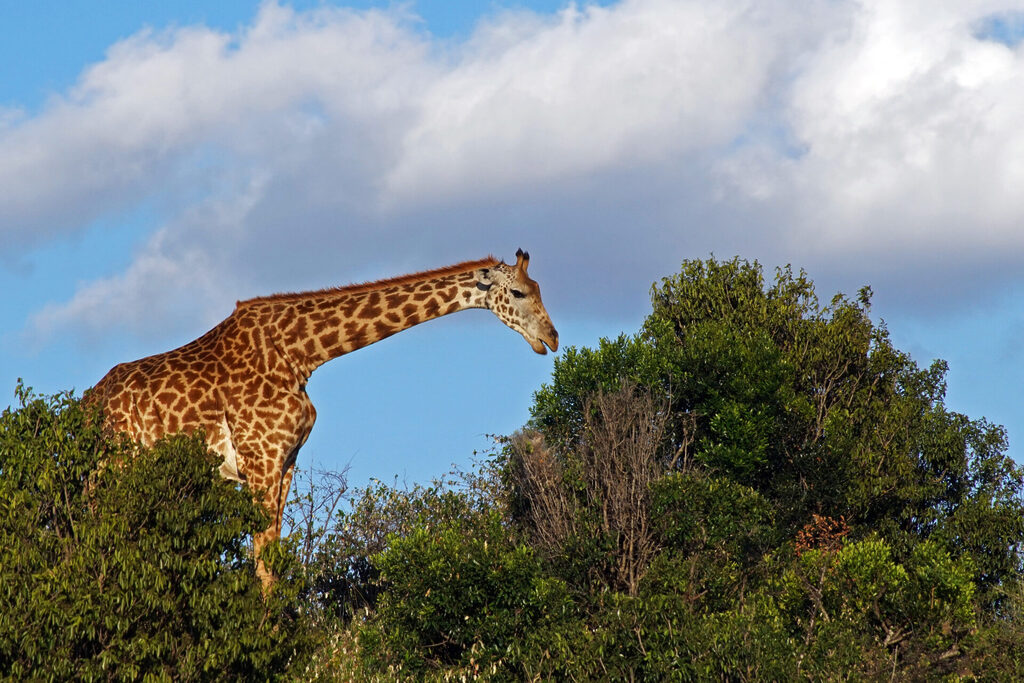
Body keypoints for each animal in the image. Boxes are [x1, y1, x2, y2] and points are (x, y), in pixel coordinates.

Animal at [87, 249, 558, 586]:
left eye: (539, 289)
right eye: (518, 293)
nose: (551, 338)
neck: (302, 354)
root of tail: (87, 403)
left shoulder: (286, 462)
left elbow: (274, 558)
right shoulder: (260, 459)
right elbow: (263, 561)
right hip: (111, 476)